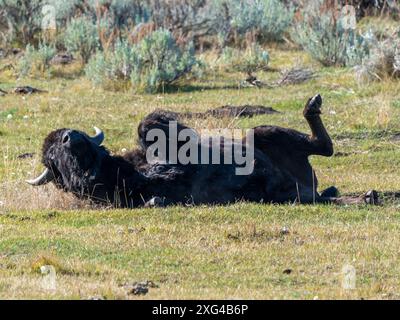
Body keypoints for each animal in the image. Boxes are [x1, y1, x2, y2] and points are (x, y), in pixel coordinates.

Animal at [25, 94, 378, 208]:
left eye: (68, 135)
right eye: (52, 157)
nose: (69, 137)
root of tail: (307, 186)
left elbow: (150, 127)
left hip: (262, 134)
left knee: (322, 148)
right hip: (289, 194)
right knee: (324, 165)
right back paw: (366, 196)